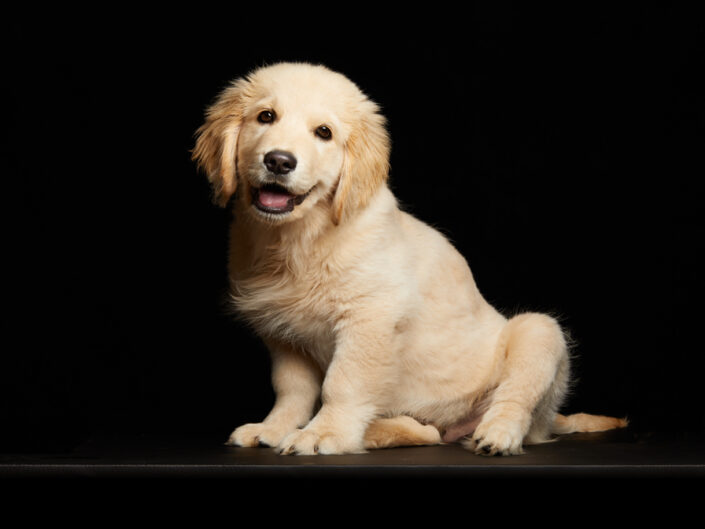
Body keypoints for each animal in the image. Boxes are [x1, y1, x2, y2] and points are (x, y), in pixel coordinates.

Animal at [190, 59, 624, 452]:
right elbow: (291, 388)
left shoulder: (371, 317)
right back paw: (375, 432)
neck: (300, 239)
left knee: (513, 398)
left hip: (539, 333)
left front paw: (323, 434)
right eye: (266, 116)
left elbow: (342, 383)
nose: (279, 161)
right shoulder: (283, 331)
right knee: (427, 432)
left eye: (324, 133)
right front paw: (276, 428)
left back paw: (496, 434)